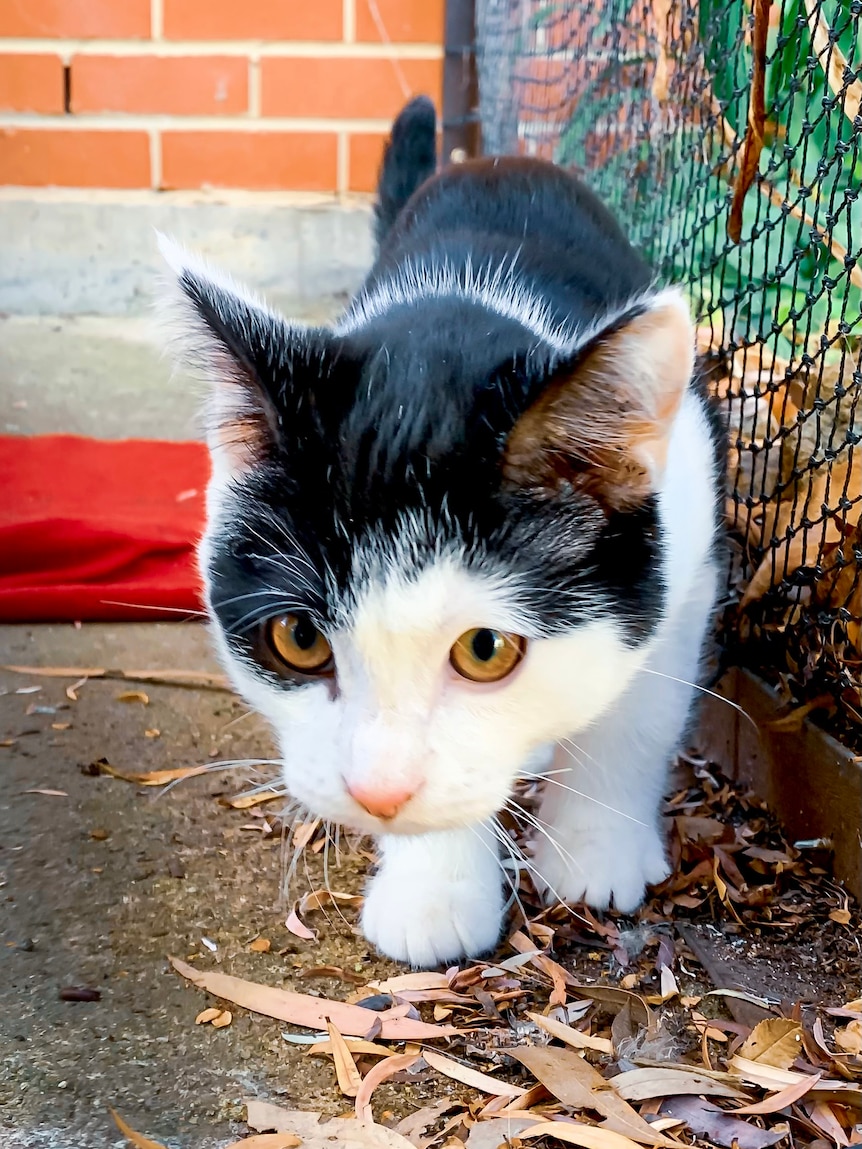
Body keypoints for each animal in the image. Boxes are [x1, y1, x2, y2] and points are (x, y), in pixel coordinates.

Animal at [158, 94, 726, 965]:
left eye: (485, 649)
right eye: (298, 638)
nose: (375, 790)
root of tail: (490, 160)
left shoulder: (688, 540)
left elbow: (642, 706)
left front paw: (594, 851)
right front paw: (434, 890)